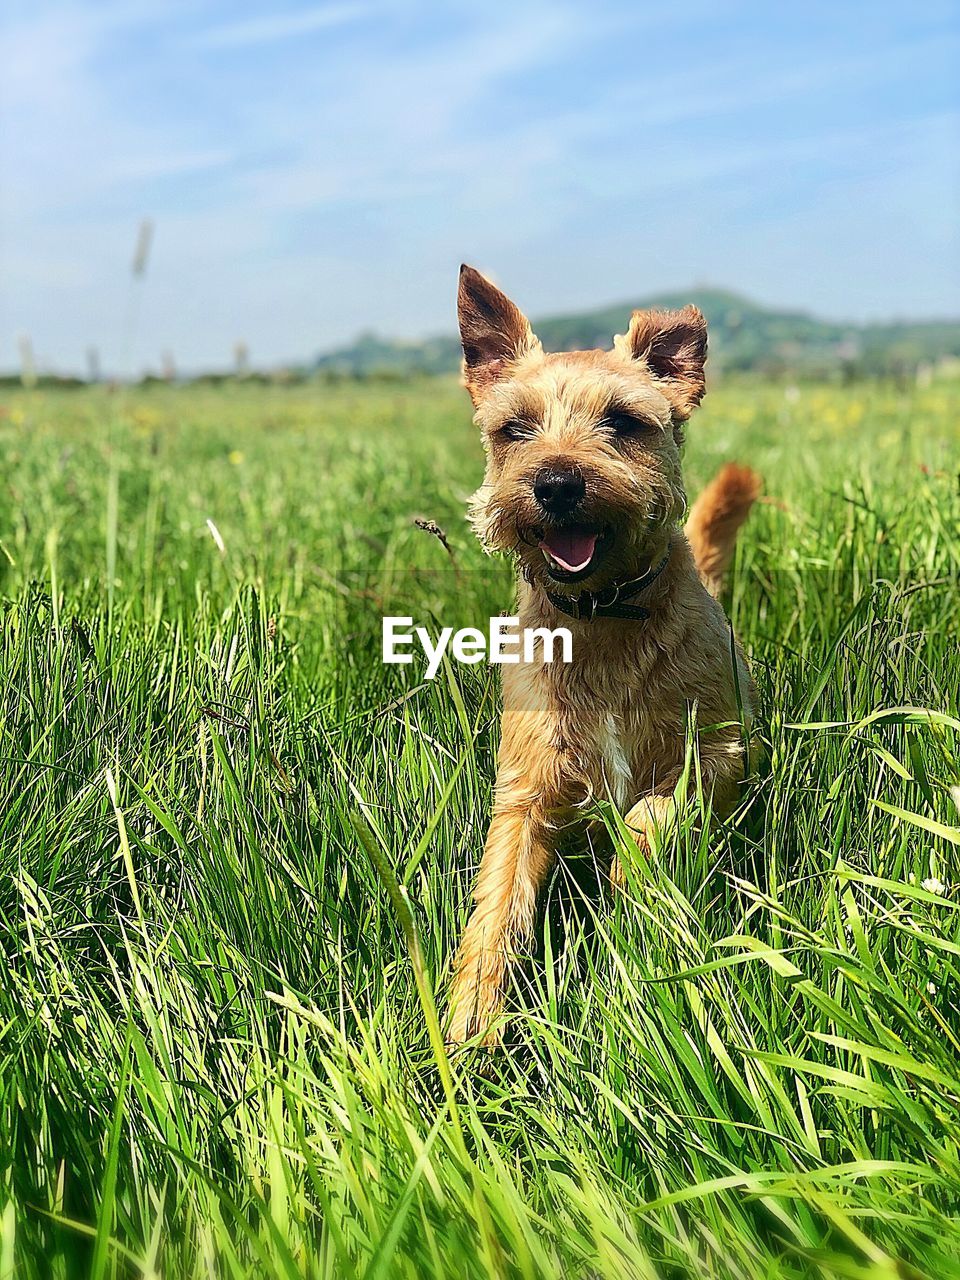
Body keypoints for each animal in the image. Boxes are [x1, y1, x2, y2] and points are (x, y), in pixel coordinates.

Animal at [448, 264, 762, 1044]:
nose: (556, 482)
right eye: (514, 428)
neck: (604, 617)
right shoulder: (524, 788)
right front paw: (471, 1016)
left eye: (623, 420)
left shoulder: (720, 751)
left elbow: (654, 817)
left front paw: (634, 881)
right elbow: (498, 899)